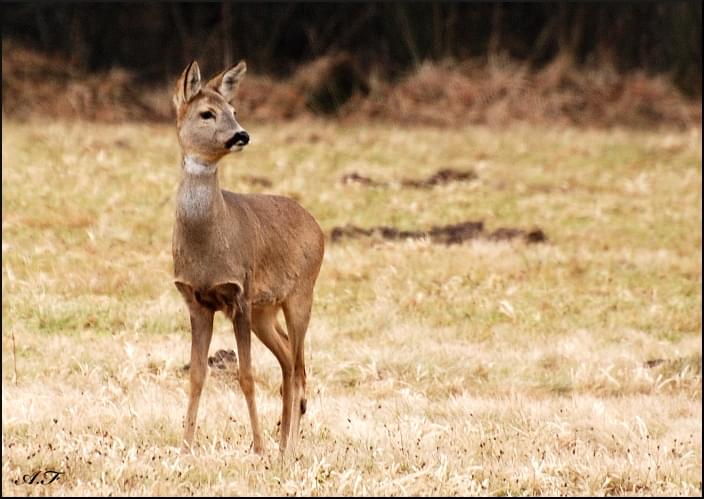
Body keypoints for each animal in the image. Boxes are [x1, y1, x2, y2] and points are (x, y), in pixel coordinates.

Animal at [170, 60, 324, 456]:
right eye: (207, 113)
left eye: (234, 110)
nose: (241, 135)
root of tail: (316, 226)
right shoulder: (195, 299)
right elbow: (197, 374)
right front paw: (185, 446)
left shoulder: (239, 293)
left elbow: (247, 375)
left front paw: (257, 447)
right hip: (263, 310)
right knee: (288, 361)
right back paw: (284, 439)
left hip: (301, 294)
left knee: (298, 367)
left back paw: (287, 447)